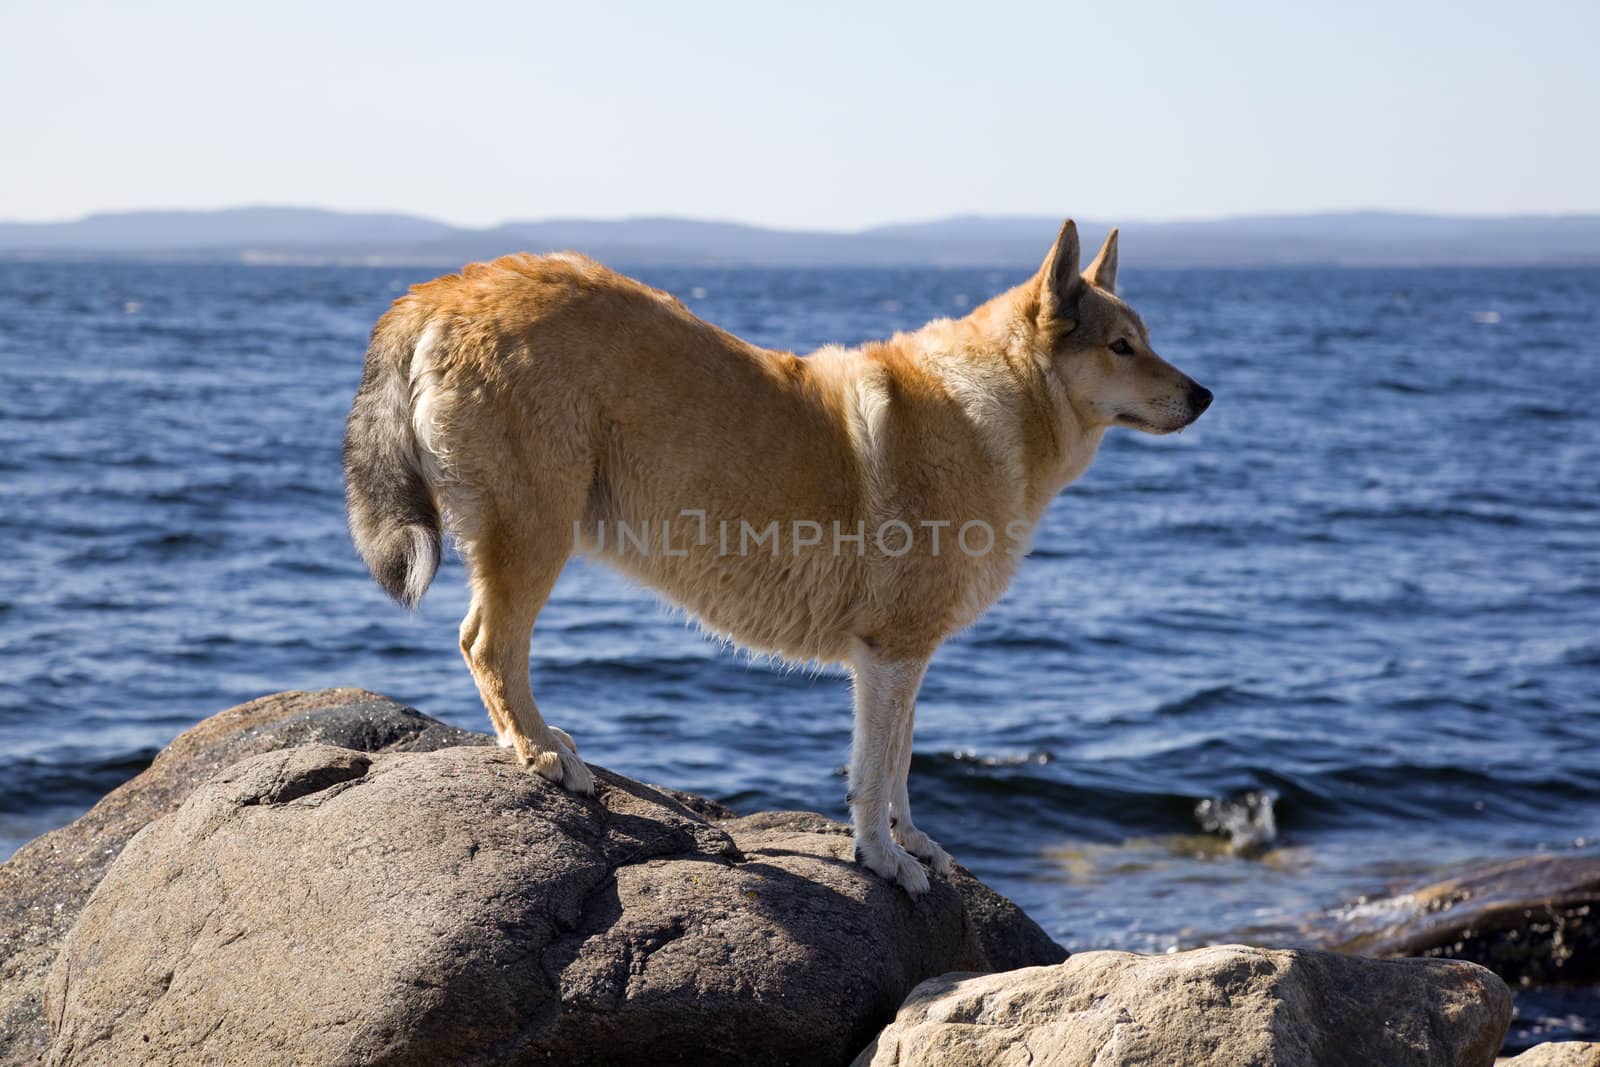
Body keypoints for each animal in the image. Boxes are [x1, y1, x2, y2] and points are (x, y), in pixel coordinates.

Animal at [344, 219, 1203, 895]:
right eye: (1122, 346)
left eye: (1147, 340)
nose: (1205, 395)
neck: (993, 407)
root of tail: (444, 286)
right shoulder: (890, 652)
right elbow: (871, 773)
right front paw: (884, 860)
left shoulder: (908, 655)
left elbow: (900, 764)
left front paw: (912, 842)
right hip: (534, 532)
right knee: (488, 644)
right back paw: (541, 753)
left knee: (492, 648)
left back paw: (540, 741)